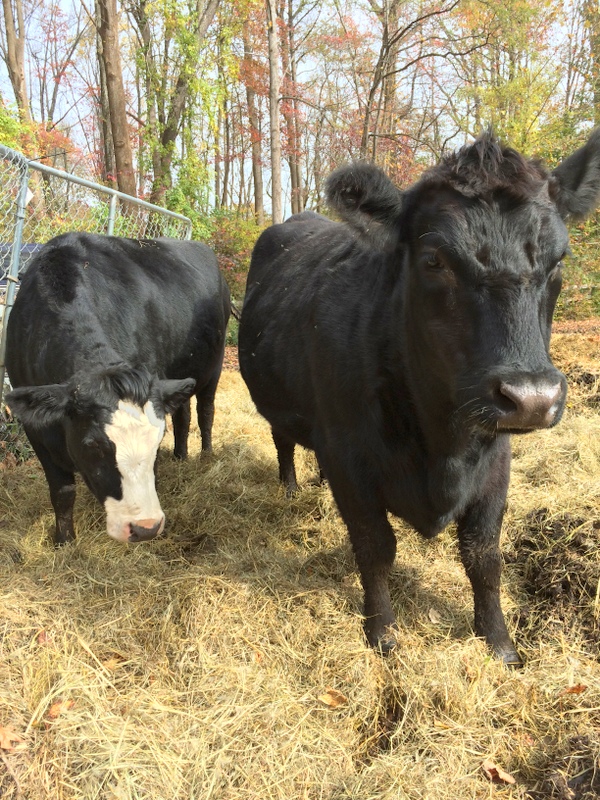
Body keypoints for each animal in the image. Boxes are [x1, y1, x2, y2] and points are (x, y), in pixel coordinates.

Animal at [6, 233, 230, 546]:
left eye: (156, 441)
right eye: (92, 445)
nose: (146, 527)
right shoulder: (36, 429)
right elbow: (62, 492)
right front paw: (65, 541)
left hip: (214, 367)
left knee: (205, 411)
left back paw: (206, 454)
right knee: (183, 415)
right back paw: (181, 456)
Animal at [238, 130, 600, 665]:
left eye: (558, 263)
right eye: (434, 260)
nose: (532, 396)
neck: (440, 440)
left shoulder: (496, 463)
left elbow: (483, 556)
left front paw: (499, 643)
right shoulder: (349, 457)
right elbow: (375, 548)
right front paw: (382, 632)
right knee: (283, 441)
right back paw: (290, 487)